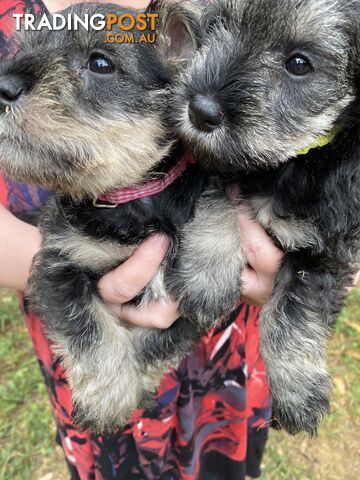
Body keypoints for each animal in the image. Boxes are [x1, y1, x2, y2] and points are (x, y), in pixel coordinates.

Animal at [0, 1, 245, 434]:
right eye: (21, 49)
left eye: (100, 62)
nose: (3, 85)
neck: (131, 199)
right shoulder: (59, 266)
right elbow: (91, 330)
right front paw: (109, 400)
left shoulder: (184, 317)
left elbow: (158, 343)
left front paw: (209, 277)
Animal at [174, 0, 360, 436]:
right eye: (219, 21)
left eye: (299, 63)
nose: (201, 111)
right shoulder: (212, 164)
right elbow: (216, 199)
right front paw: (208, 277)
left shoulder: (325, 248)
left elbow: (291, 313)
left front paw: (297, 391)